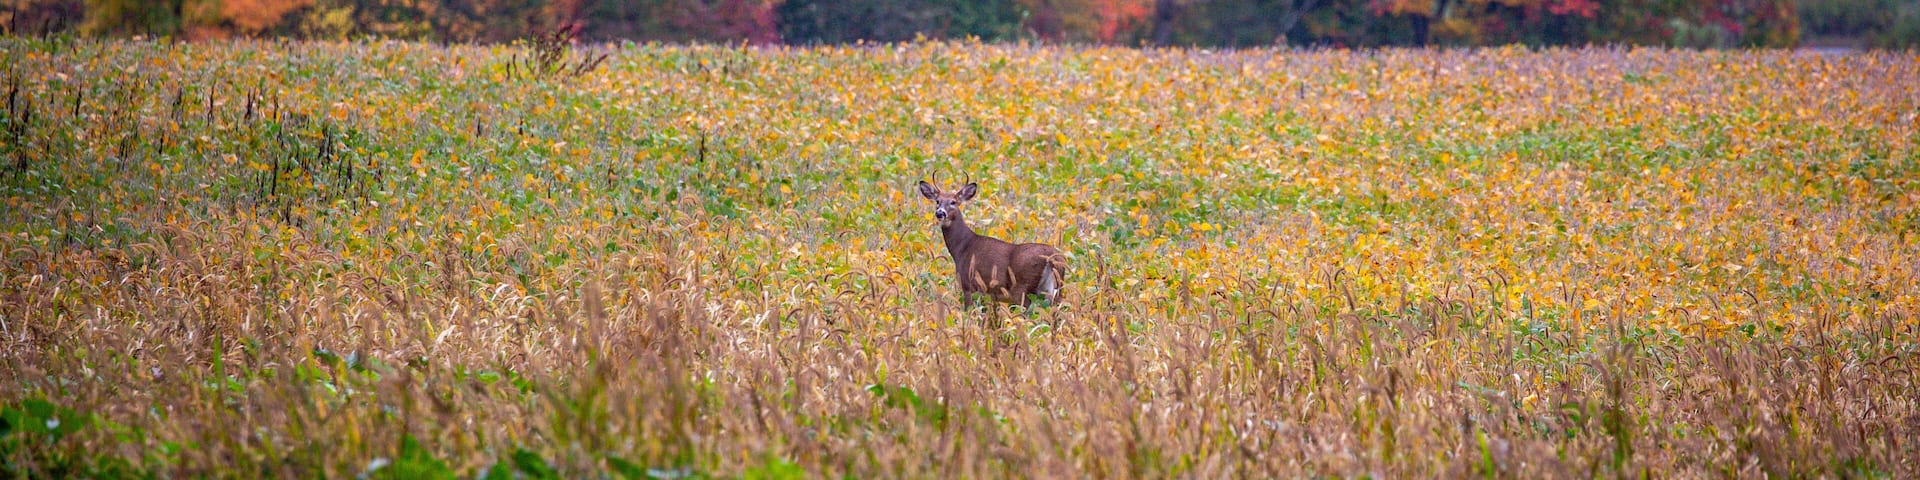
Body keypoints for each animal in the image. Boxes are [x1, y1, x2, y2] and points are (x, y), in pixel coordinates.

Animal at [917, 180, 1067, 312]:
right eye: (937, 201)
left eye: (953, 202)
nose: (940, 213)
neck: (962, 247)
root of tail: (1053, 258)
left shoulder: (969, 286)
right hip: (1055, 289)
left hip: (1023, 288)